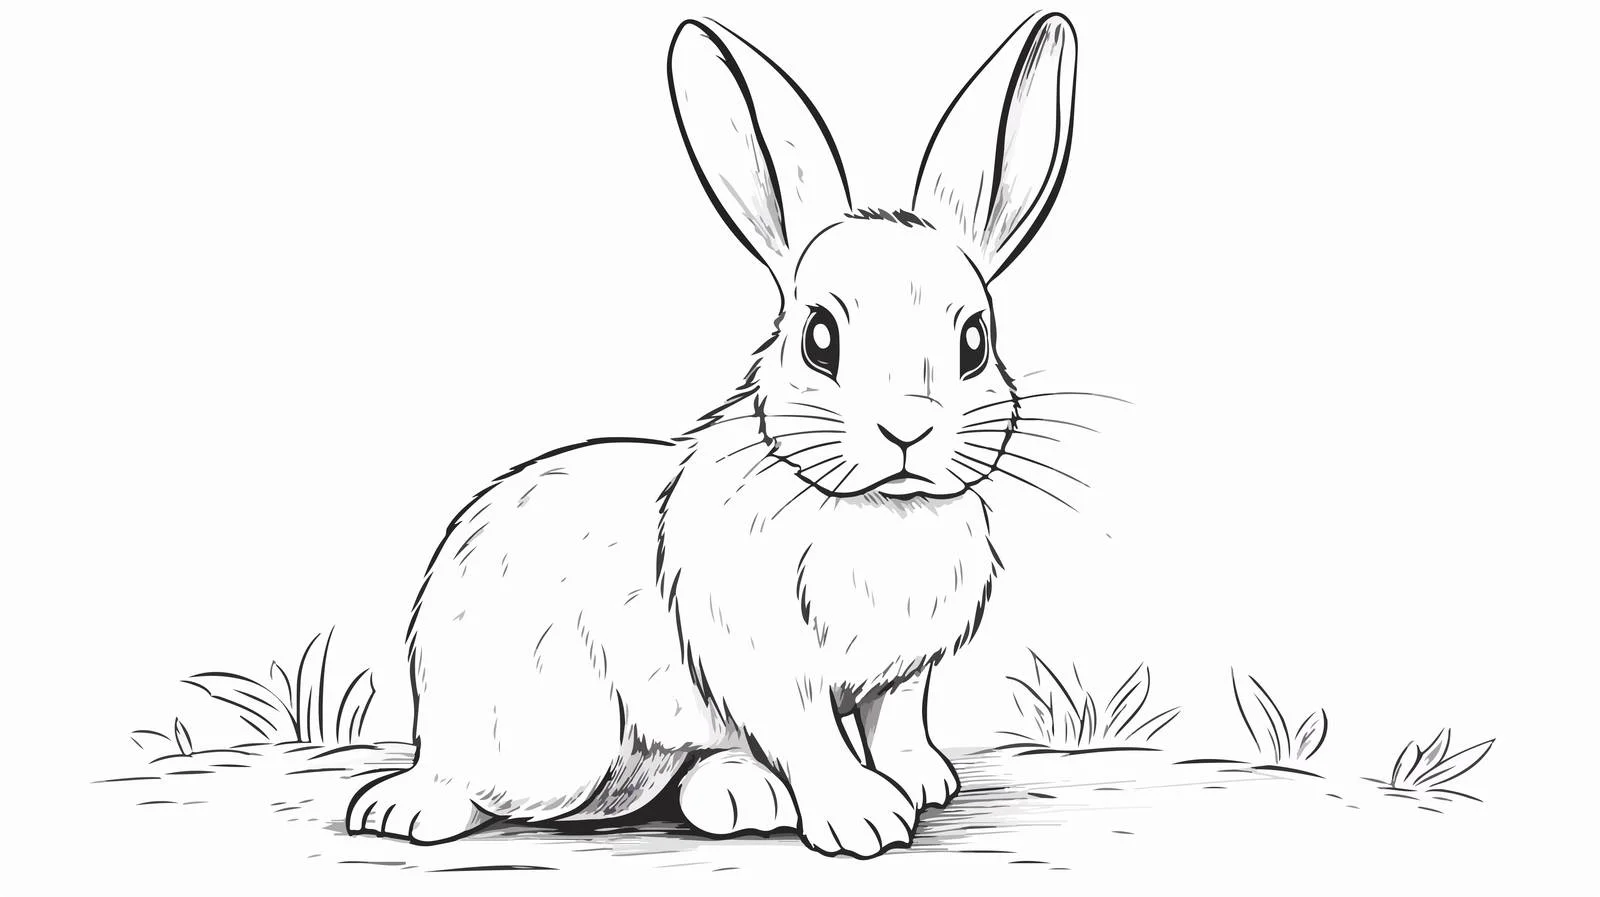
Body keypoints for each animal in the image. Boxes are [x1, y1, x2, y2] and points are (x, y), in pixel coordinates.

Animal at [346, 11, 1078, 859]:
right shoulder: (762, 652)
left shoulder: (905, 672)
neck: (877, 508)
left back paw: (737, 793)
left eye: (974, 343)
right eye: (818, 338)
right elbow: (810, 732)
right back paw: (403, 809)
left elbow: (895, 722)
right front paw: (865, 817)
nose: (909, 425)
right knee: (472, 783)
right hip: (542, 739)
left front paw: (923, 780)